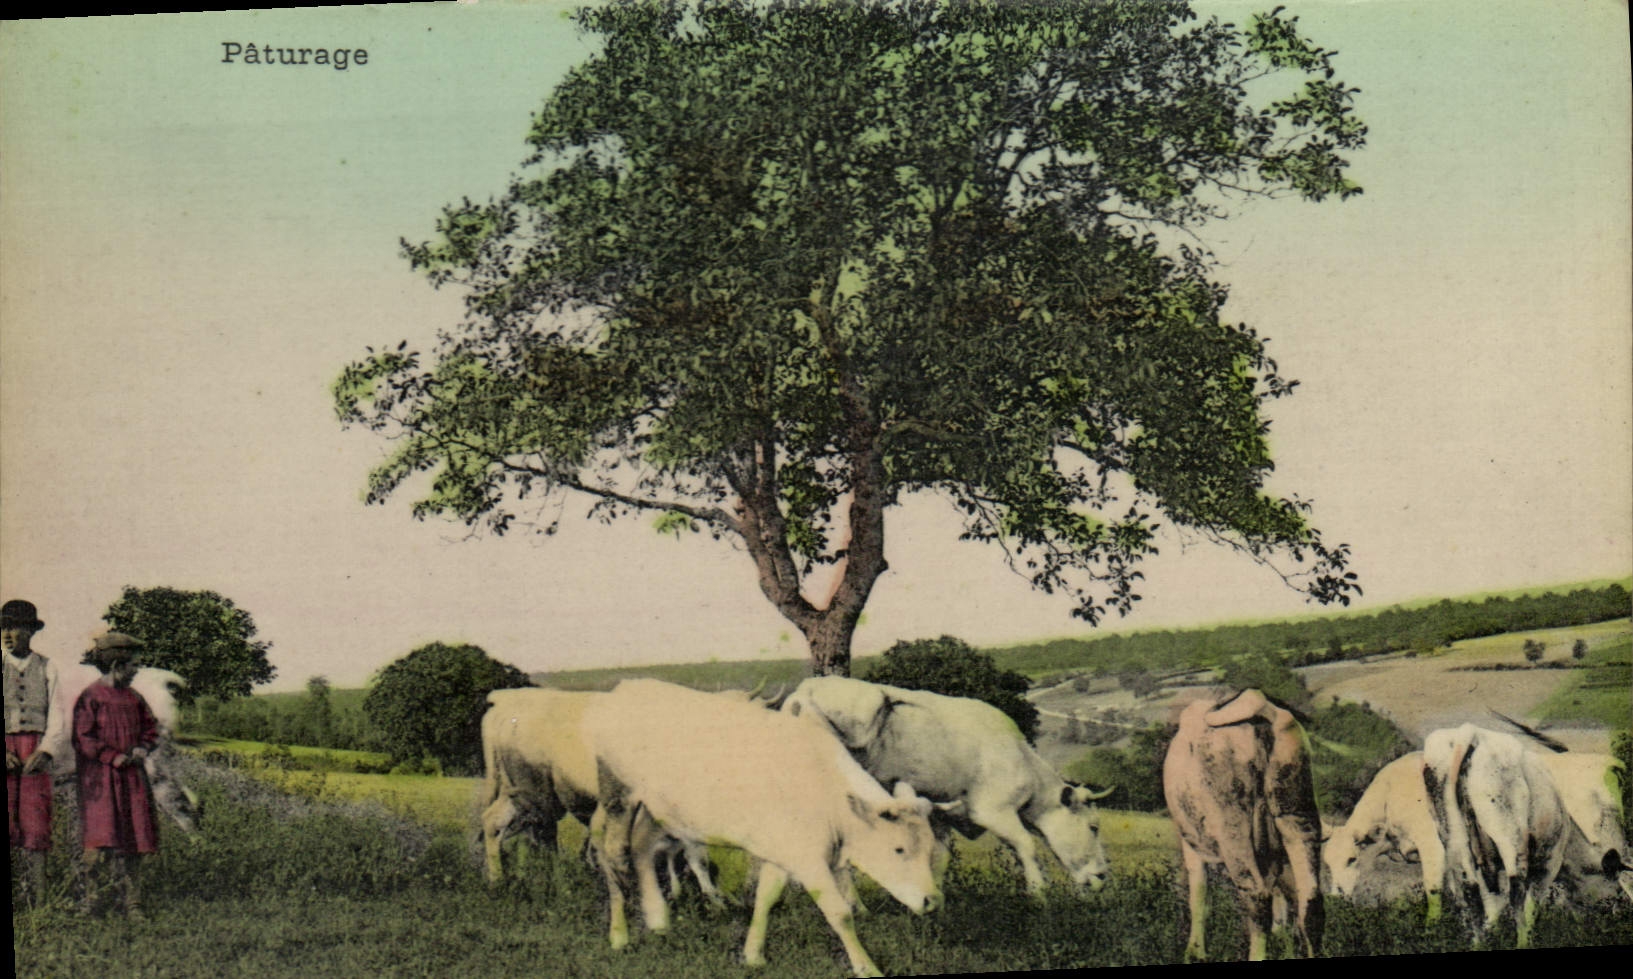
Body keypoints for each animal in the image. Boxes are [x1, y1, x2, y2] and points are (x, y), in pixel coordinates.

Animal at [477, 687, 722, 904]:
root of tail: (506, 701)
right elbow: (692, 856)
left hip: (516, 792)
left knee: (494, 822)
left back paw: (497, 881)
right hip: (537, 795)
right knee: (544, 837)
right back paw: (559, 887)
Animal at [582, 678, 942, 978]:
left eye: (929, 849)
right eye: (898, 849)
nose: (932, 901)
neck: (822, 786)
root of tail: (627, 687)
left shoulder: (782, 849)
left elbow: (766, 897)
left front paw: (753, 955)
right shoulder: (808, 859)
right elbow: (840, 913)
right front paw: (868, 968)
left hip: (659, 810)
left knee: (642, 848)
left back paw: (658, 919)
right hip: (618, 795)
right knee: (614, 855)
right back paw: (619, 934)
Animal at [781, 676, 1112, 897]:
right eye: (1094, 826)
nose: (1102, 875)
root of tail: (807, 689)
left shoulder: (942, 814)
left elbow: (940, 856)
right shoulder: (993, 810)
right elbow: (1027, 845)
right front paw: (1038, 894)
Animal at [1163, 689, 1323, 962]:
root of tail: (1257, 702)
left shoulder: (1190, 843)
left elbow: (1199, 894)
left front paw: (1195, 952)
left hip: (1233, 826)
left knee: (1257, 897)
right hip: (1298, 813)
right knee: (1310, 901)